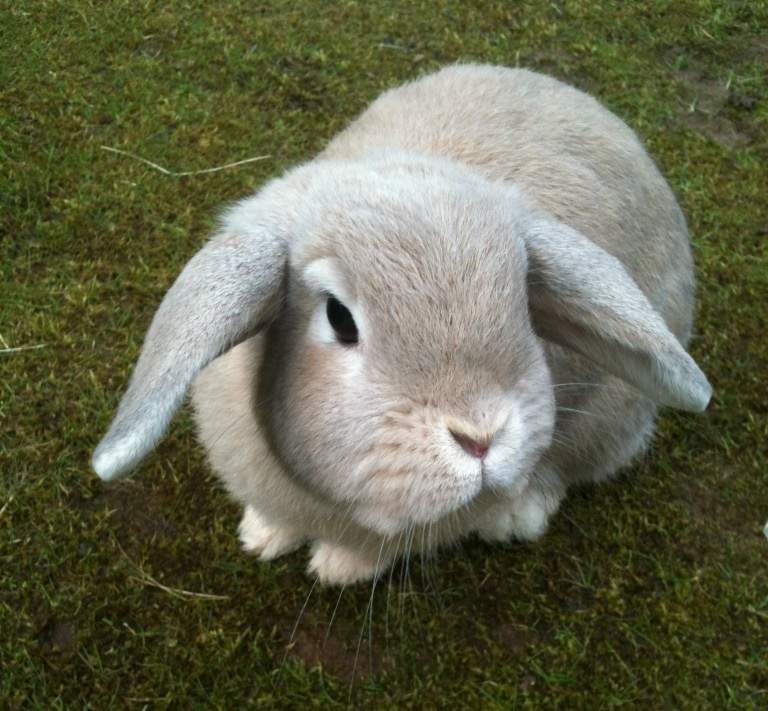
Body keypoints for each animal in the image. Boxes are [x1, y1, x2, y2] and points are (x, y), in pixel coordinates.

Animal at [92, 64, 711, 585]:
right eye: (339, 317)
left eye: (522, 300)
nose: (480, 438)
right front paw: (261, 536)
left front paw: (336, 569)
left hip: (609, 415)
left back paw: (518, 514)